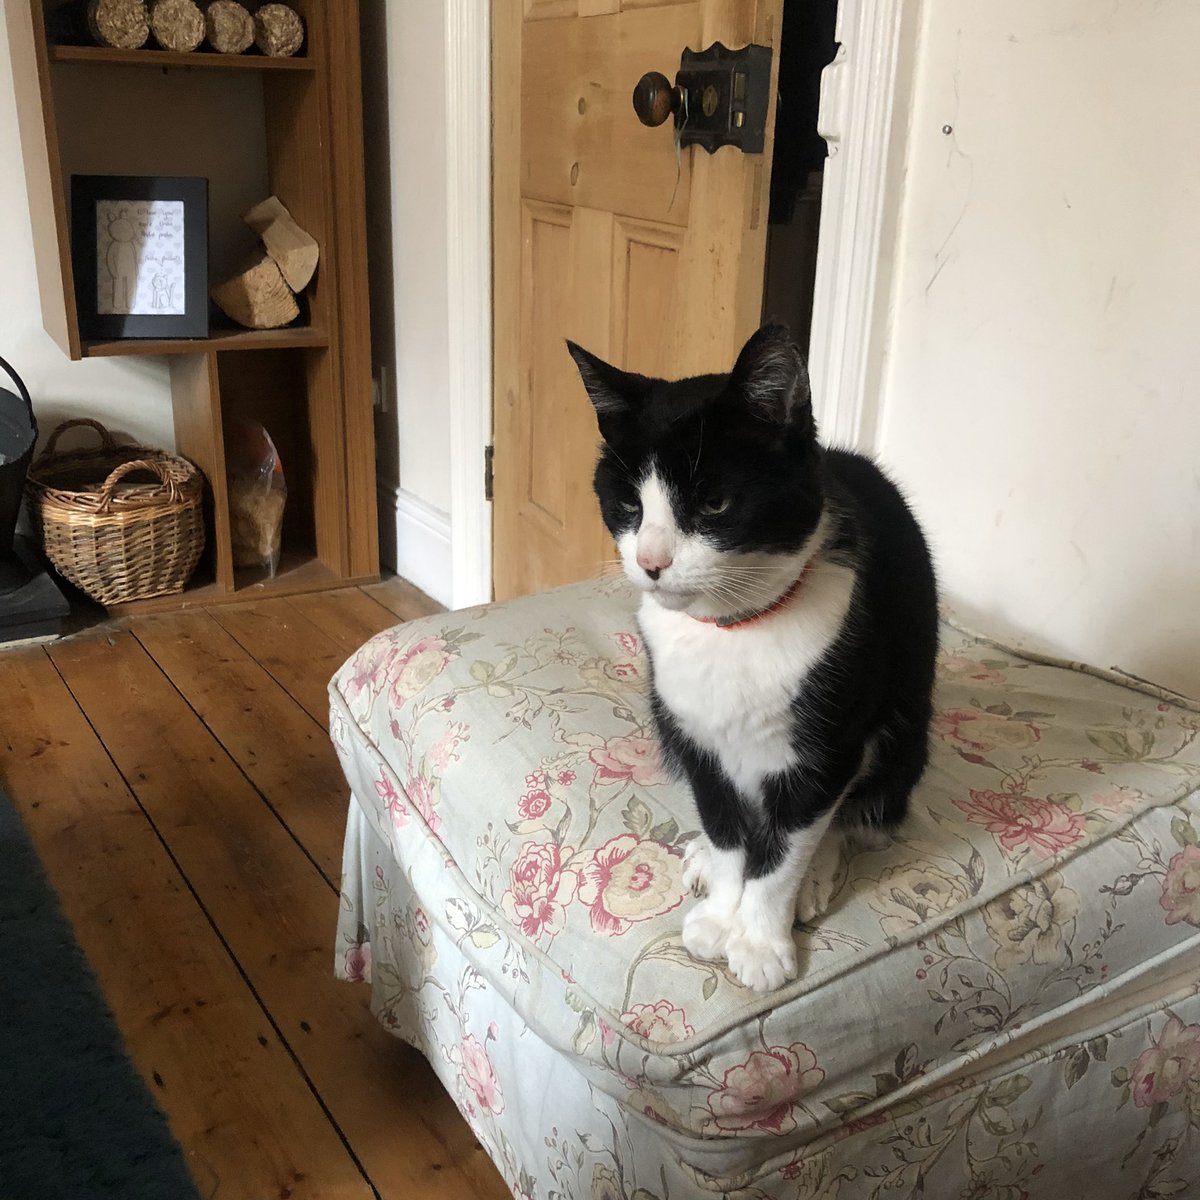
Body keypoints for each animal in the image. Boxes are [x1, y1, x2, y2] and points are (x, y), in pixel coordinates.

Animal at [567, 323, 938, 993]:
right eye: (629, 506)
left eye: (714, 504)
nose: (652, 562)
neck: (732, 630)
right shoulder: (694, 735)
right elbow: (725, 827)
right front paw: (720, 912)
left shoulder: (826, 748)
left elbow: (786, 849)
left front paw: (761, 941)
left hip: (903, 733)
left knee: (861, 814)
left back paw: (818, 874)